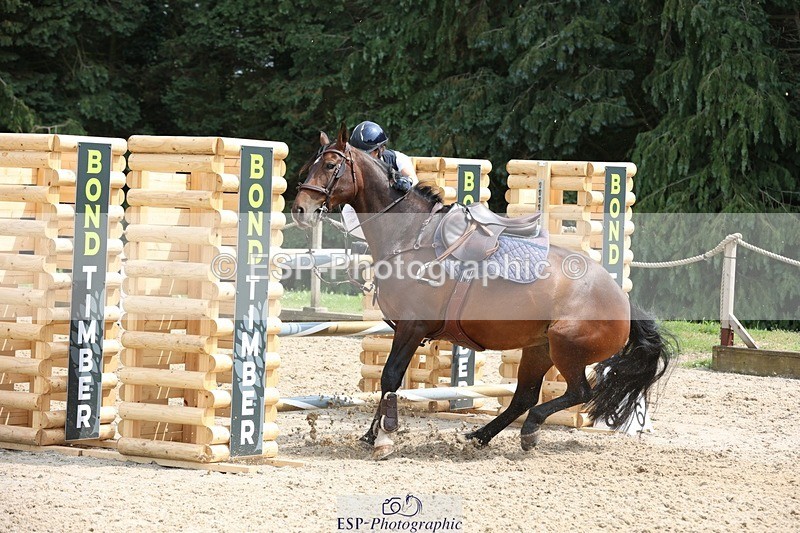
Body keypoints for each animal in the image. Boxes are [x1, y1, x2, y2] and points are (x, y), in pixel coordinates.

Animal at [291, 124, 674, 459]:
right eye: (310, 165)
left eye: (331, 166)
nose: (300, 210)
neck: (410, 234)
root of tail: (621, 300)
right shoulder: (405, 330)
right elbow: (390, 380)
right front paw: (372, 435)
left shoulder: (412, 327)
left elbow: (390, 375)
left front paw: (384, 437)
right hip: (539, 349)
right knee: (524, 397)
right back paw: (478, 436)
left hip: (566, 348)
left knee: (577, 392)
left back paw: (529, 430)